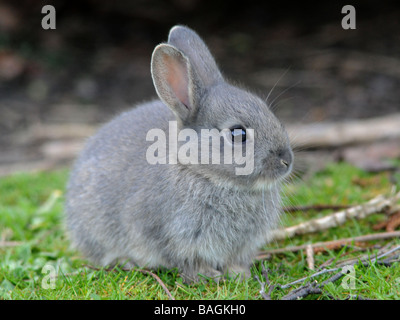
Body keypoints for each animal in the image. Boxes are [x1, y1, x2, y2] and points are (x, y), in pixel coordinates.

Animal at [64, 26, 292, 284]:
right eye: (238, 133)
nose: (287, 160)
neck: (204, 172)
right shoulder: (172, 236)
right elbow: (188, 261)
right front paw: (208, 276)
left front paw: (238, 274)